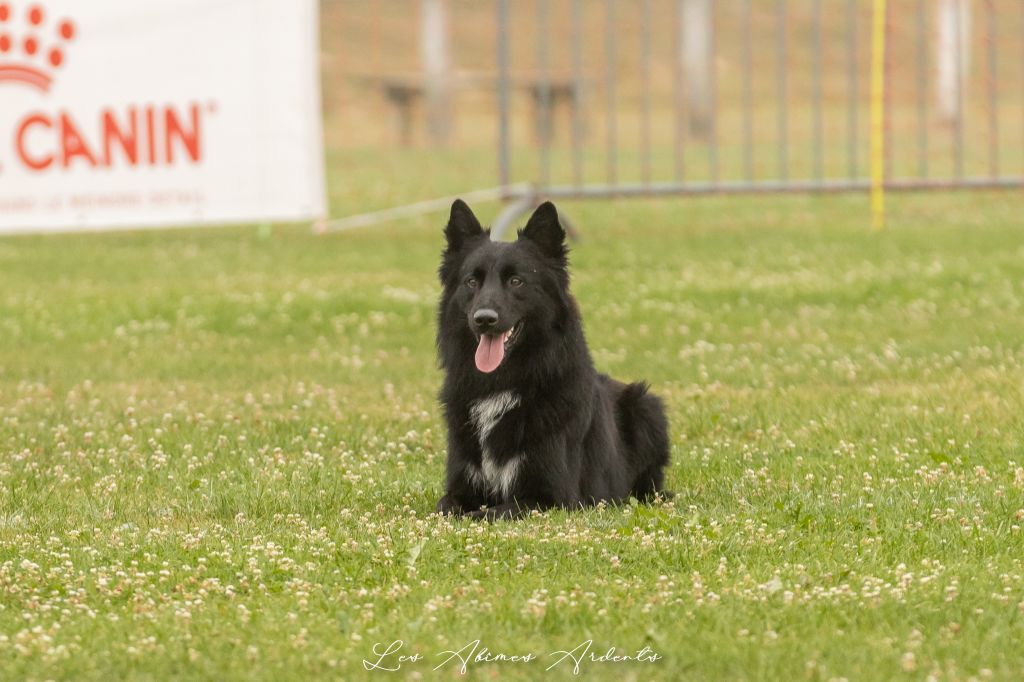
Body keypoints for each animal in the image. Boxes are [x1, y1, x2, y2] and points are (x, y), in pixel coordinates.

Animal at [434, 199, 667, 518]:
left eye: (516, 281)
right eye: (472, 282)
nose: (484, 319)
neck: (503, 383)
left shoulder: (550, 498)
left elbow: (487, 513)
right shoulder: (459, 488)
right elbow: (443, 508)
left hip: (646, 405)